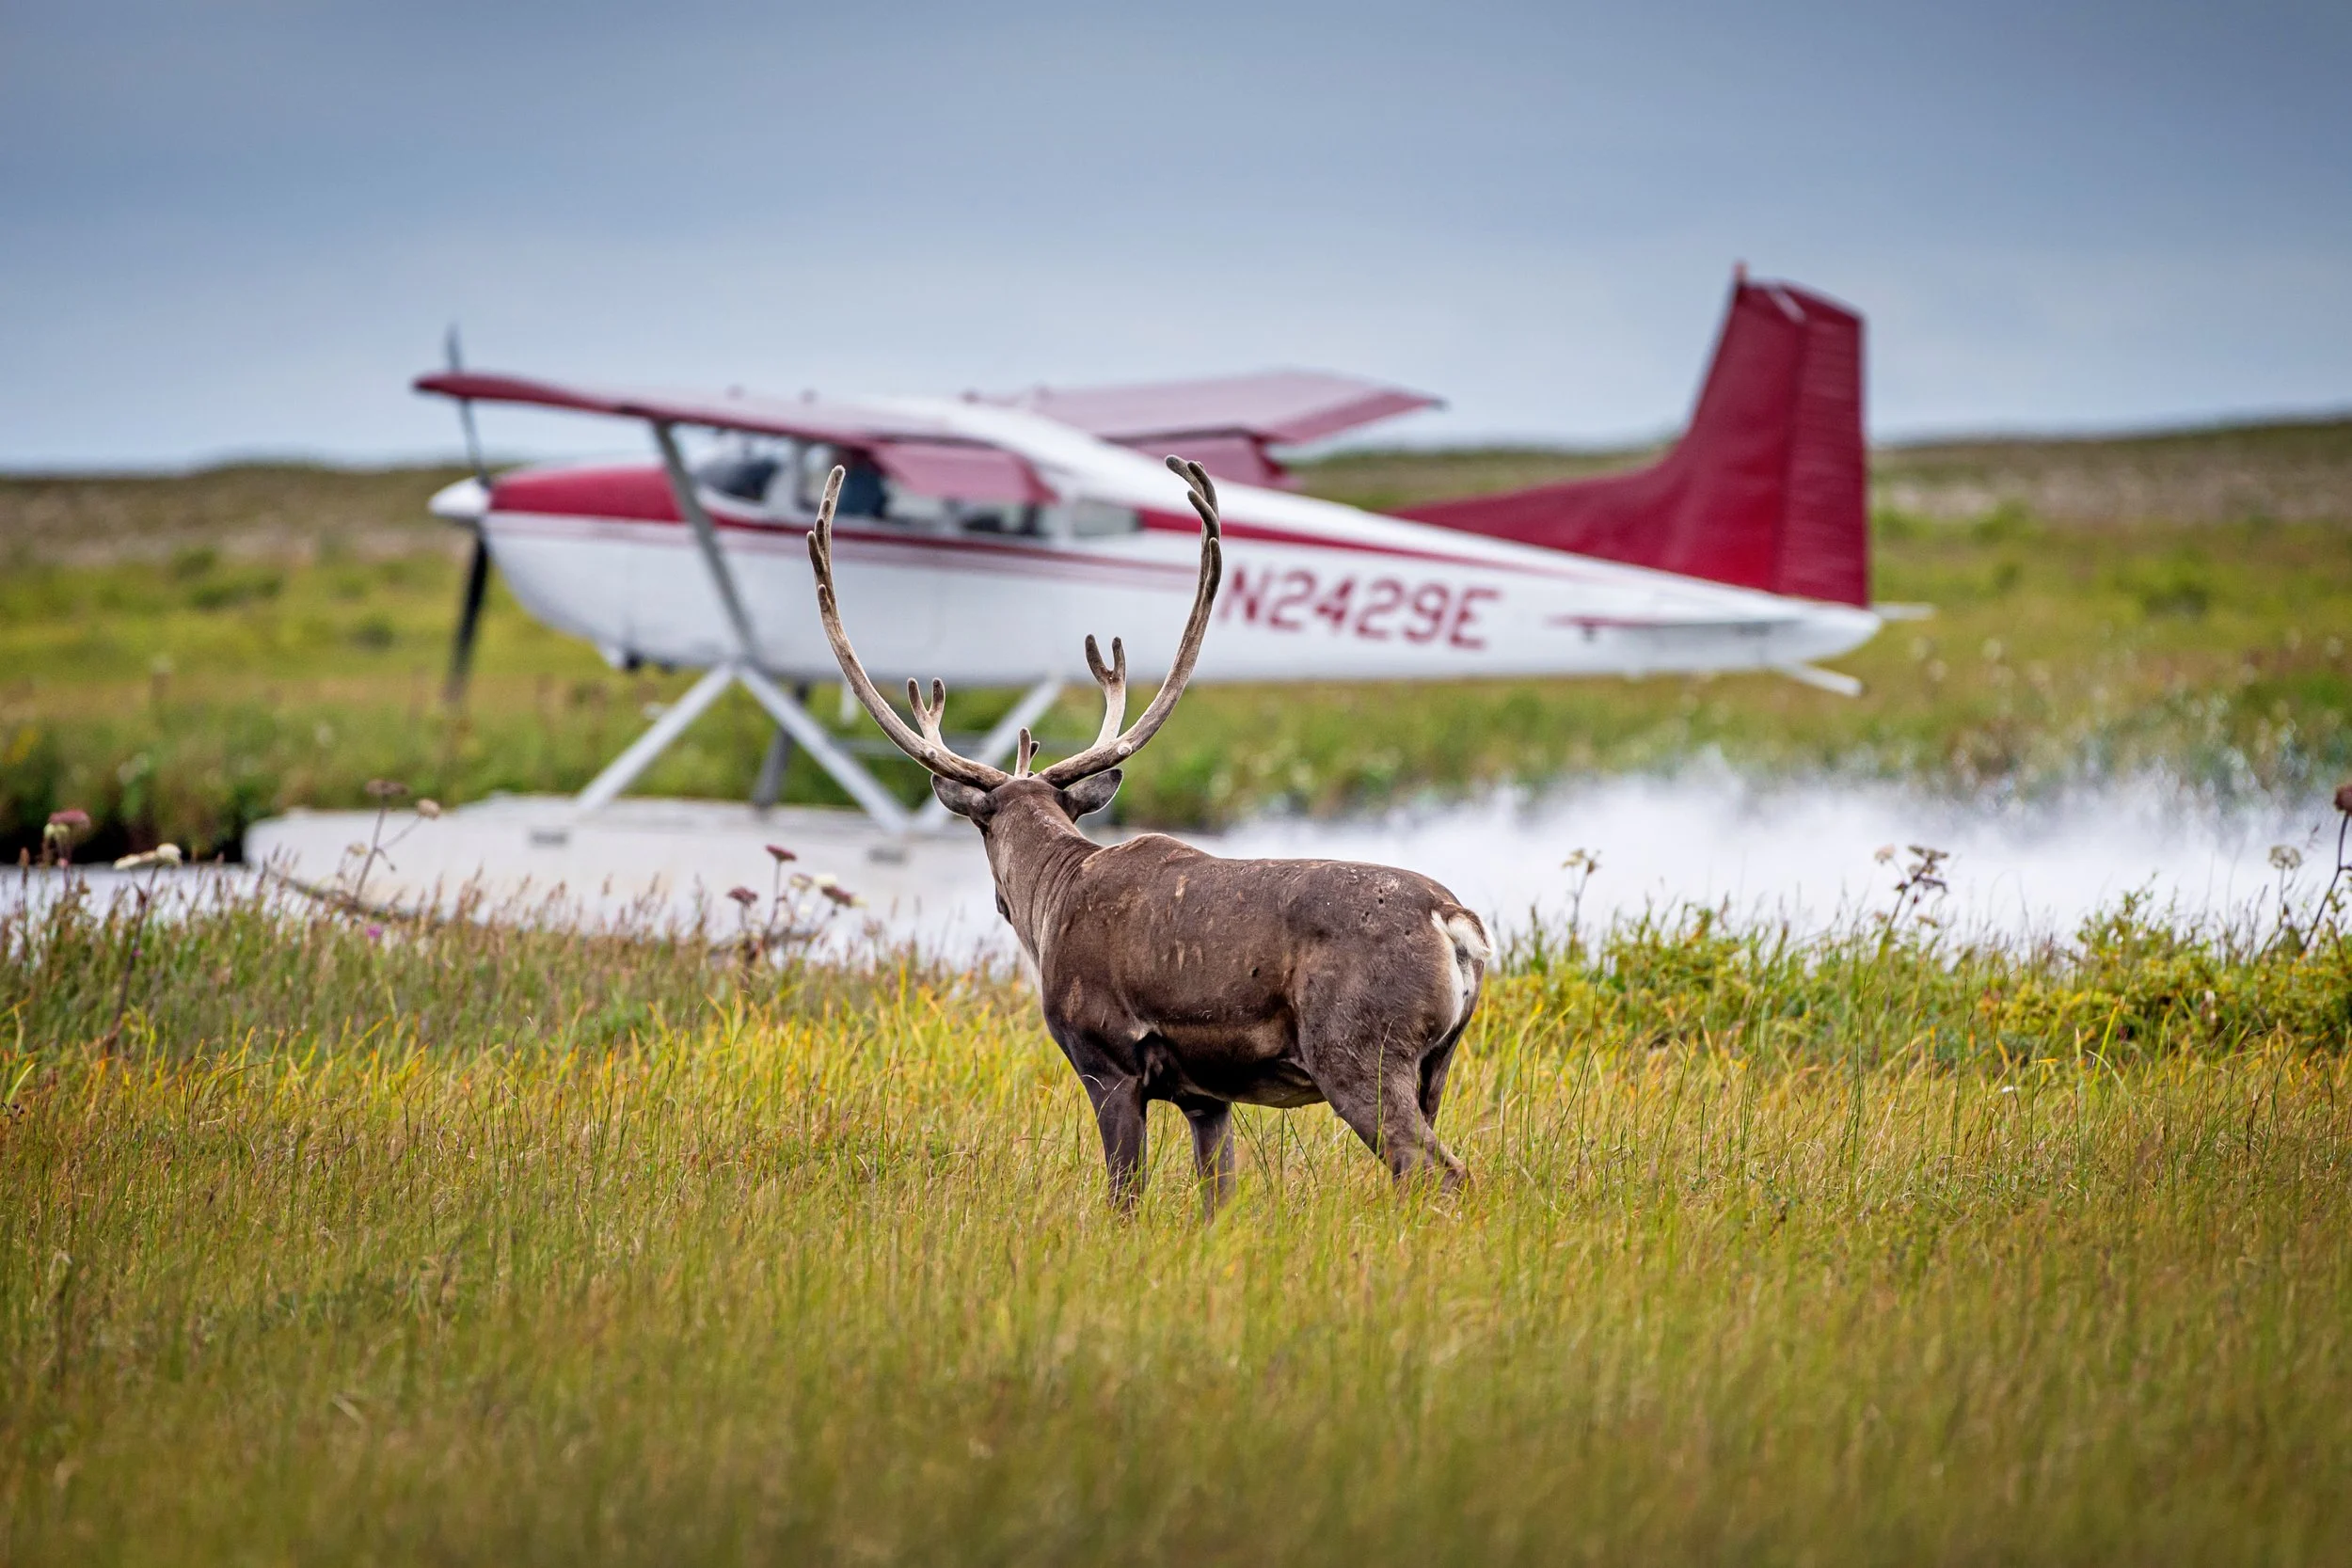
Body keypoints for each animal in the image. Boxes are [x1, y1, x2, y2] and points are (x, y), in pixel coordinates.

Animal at [806, 457, 1491, 1211]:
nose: (1001, 902)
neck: (1052, 898)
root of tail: (1455, 922)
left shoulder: (1108, 1062)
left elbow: (1123, 1196)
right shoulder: (1208, 1097)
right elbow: (1217, 1196)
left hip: (1359, 1053)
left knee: (1436, 1168)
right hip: (1437, 1065)